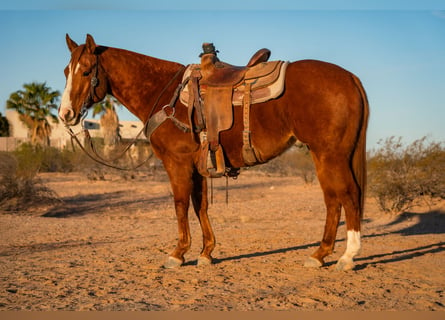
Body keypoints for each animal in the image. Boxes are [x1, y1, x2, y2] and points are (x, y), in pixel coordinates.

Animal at [58, 34, 368, 270]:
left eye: (86, 71)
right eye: (65, 72)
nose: (65, 114)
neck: (165, 93)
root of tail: (351, 78)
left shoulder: (177, 163)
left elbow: (181, 204)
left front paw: (177, 254)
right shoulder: (197, 166)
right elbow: (200, 205)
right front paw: (206, 253)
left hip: (330, 154)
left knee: (347, 195)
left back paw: (346, 257)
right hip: (325, 154)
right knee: (333, 199)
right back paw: (320, 254)